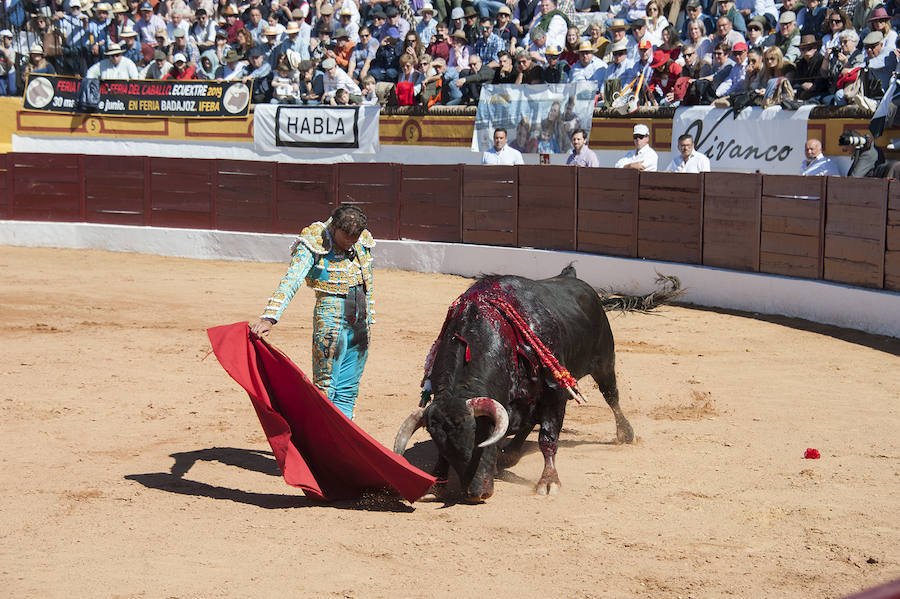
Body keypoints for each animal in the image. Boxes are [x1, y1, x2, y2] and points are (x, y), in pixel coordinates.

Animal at [398, 268, 672, 502]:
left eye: (484, 435)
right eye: (441, 443)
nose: (476, 493)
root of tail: (573, 278)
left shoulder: (555, 392)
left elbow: (547, 437)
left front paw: (548, 482)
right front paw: (436, 481)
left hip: (604, 362)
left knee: (612, 397)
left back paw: (626, 434)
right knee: (530, 420)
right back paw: (512, 452)